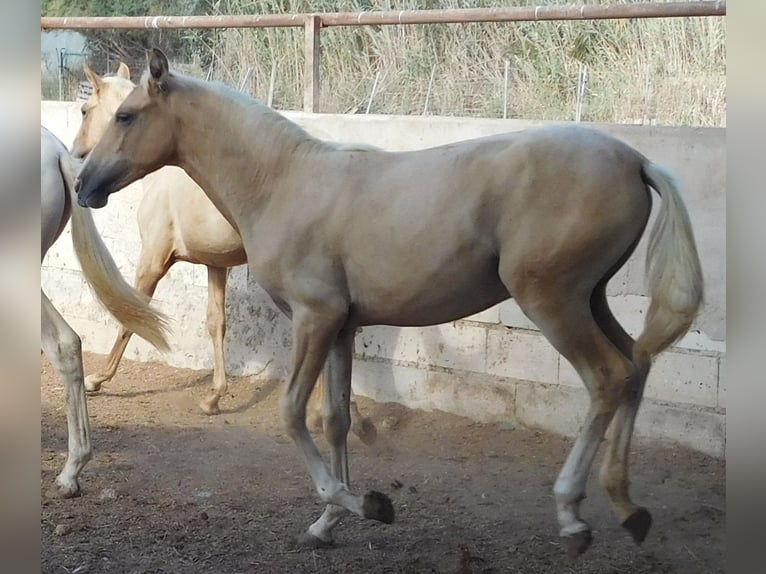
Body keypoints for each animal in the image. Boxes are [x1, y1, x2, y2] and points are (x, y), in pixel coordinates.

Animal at [70, 62, 376, 440]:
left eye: (86, 111)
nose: (78, 154)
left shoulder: (152, 261)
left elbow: (130, 316)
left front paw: (99, 379)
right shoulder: (215, 264)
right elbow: (217, 323)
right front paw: (214, 396)